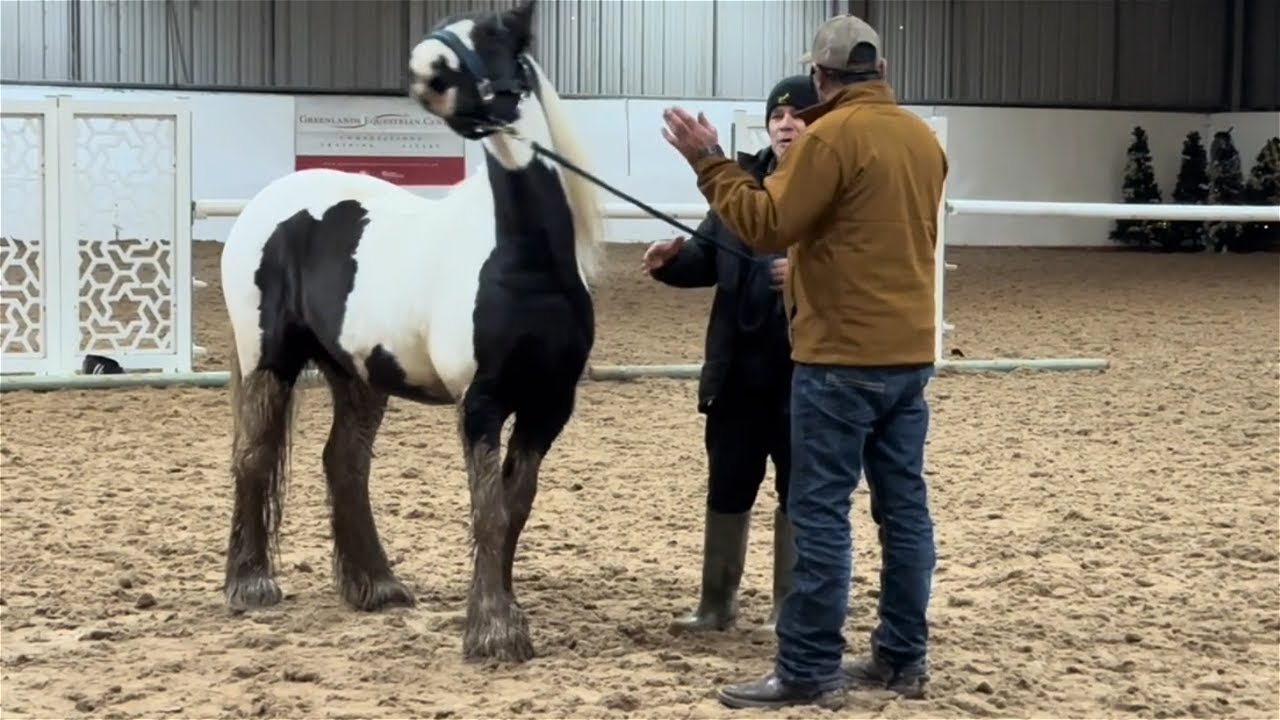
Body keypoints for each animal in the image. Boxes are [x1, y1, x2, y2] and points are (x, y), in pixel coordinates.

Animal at [217, 0, 605, 663]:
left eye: (497, 35)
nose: (428, 69)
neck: (524, 262)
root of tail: (267, 204)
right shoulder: (481, 404)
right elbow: (489, 511)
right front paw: (493, 630)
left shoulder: (548, 407)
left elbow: (516, 508)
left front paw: (503, 614)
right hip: (270, 359)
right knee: (254, 457)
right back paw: (251, 584)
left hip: (357, 375)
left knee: (343, 463)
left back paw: (375, 585)